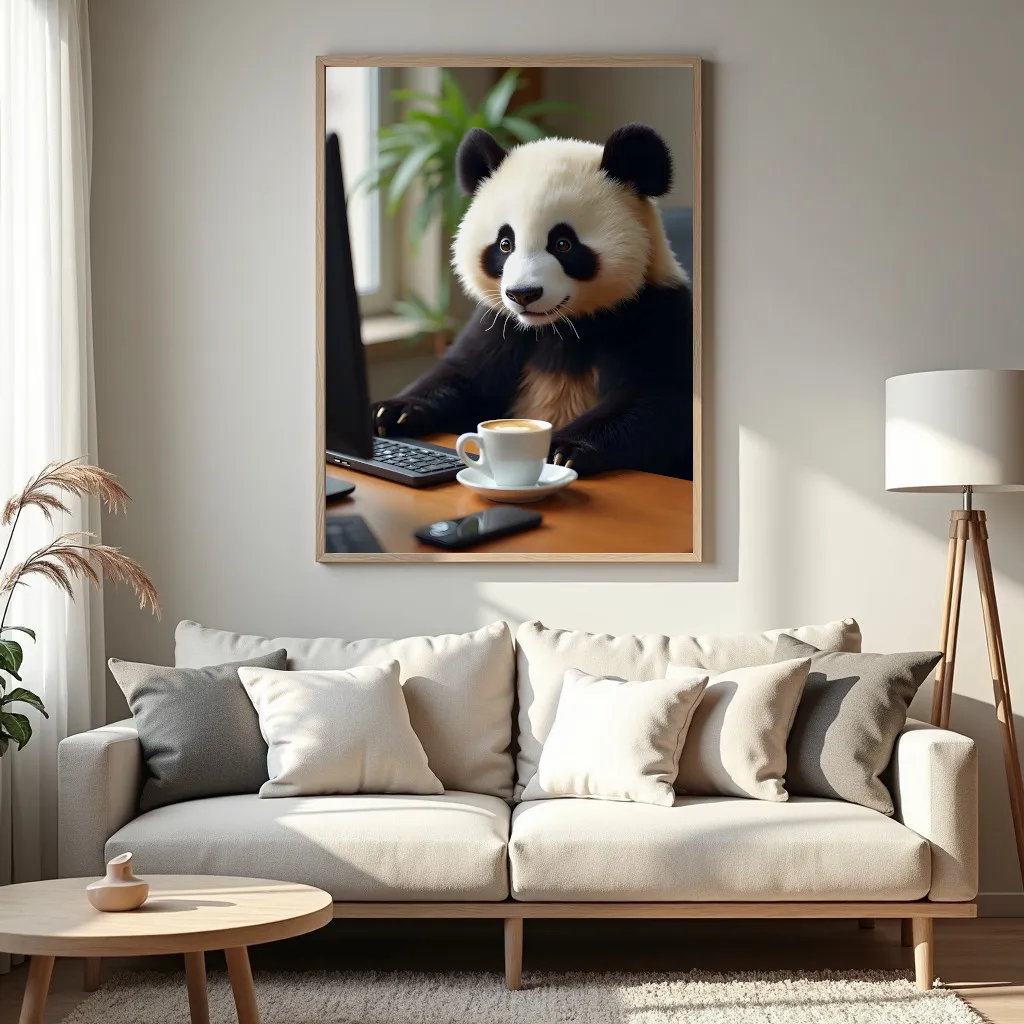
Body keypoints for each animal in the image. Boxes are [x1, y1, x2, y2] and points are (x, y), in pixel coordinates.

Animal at [372, 122, 693, 480]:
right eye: (505, 243)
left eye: (563, 243)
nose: (523, 294)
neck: (561, 325)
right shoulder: (501, 325)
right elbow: (463, 374)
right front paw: (392, 411)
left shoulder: (652, 314)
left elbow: (656, 399)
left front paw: (564, 449)